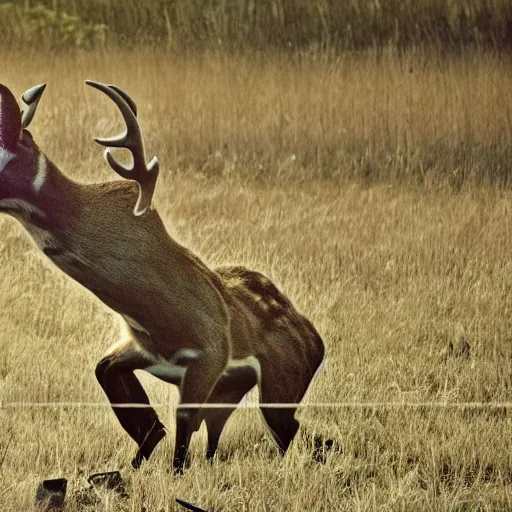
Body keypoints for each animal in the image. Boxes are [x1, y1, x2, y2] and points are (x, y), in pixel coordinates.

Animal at [0, 82, 328, 474]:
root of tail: (317, 341)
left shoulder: (209, 355)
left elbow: (180, 449)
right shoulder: (140, 348)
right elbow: (119, 389)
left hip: (281, 388)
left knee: (299, 435)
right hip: (237, 393)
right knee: (226, 439)